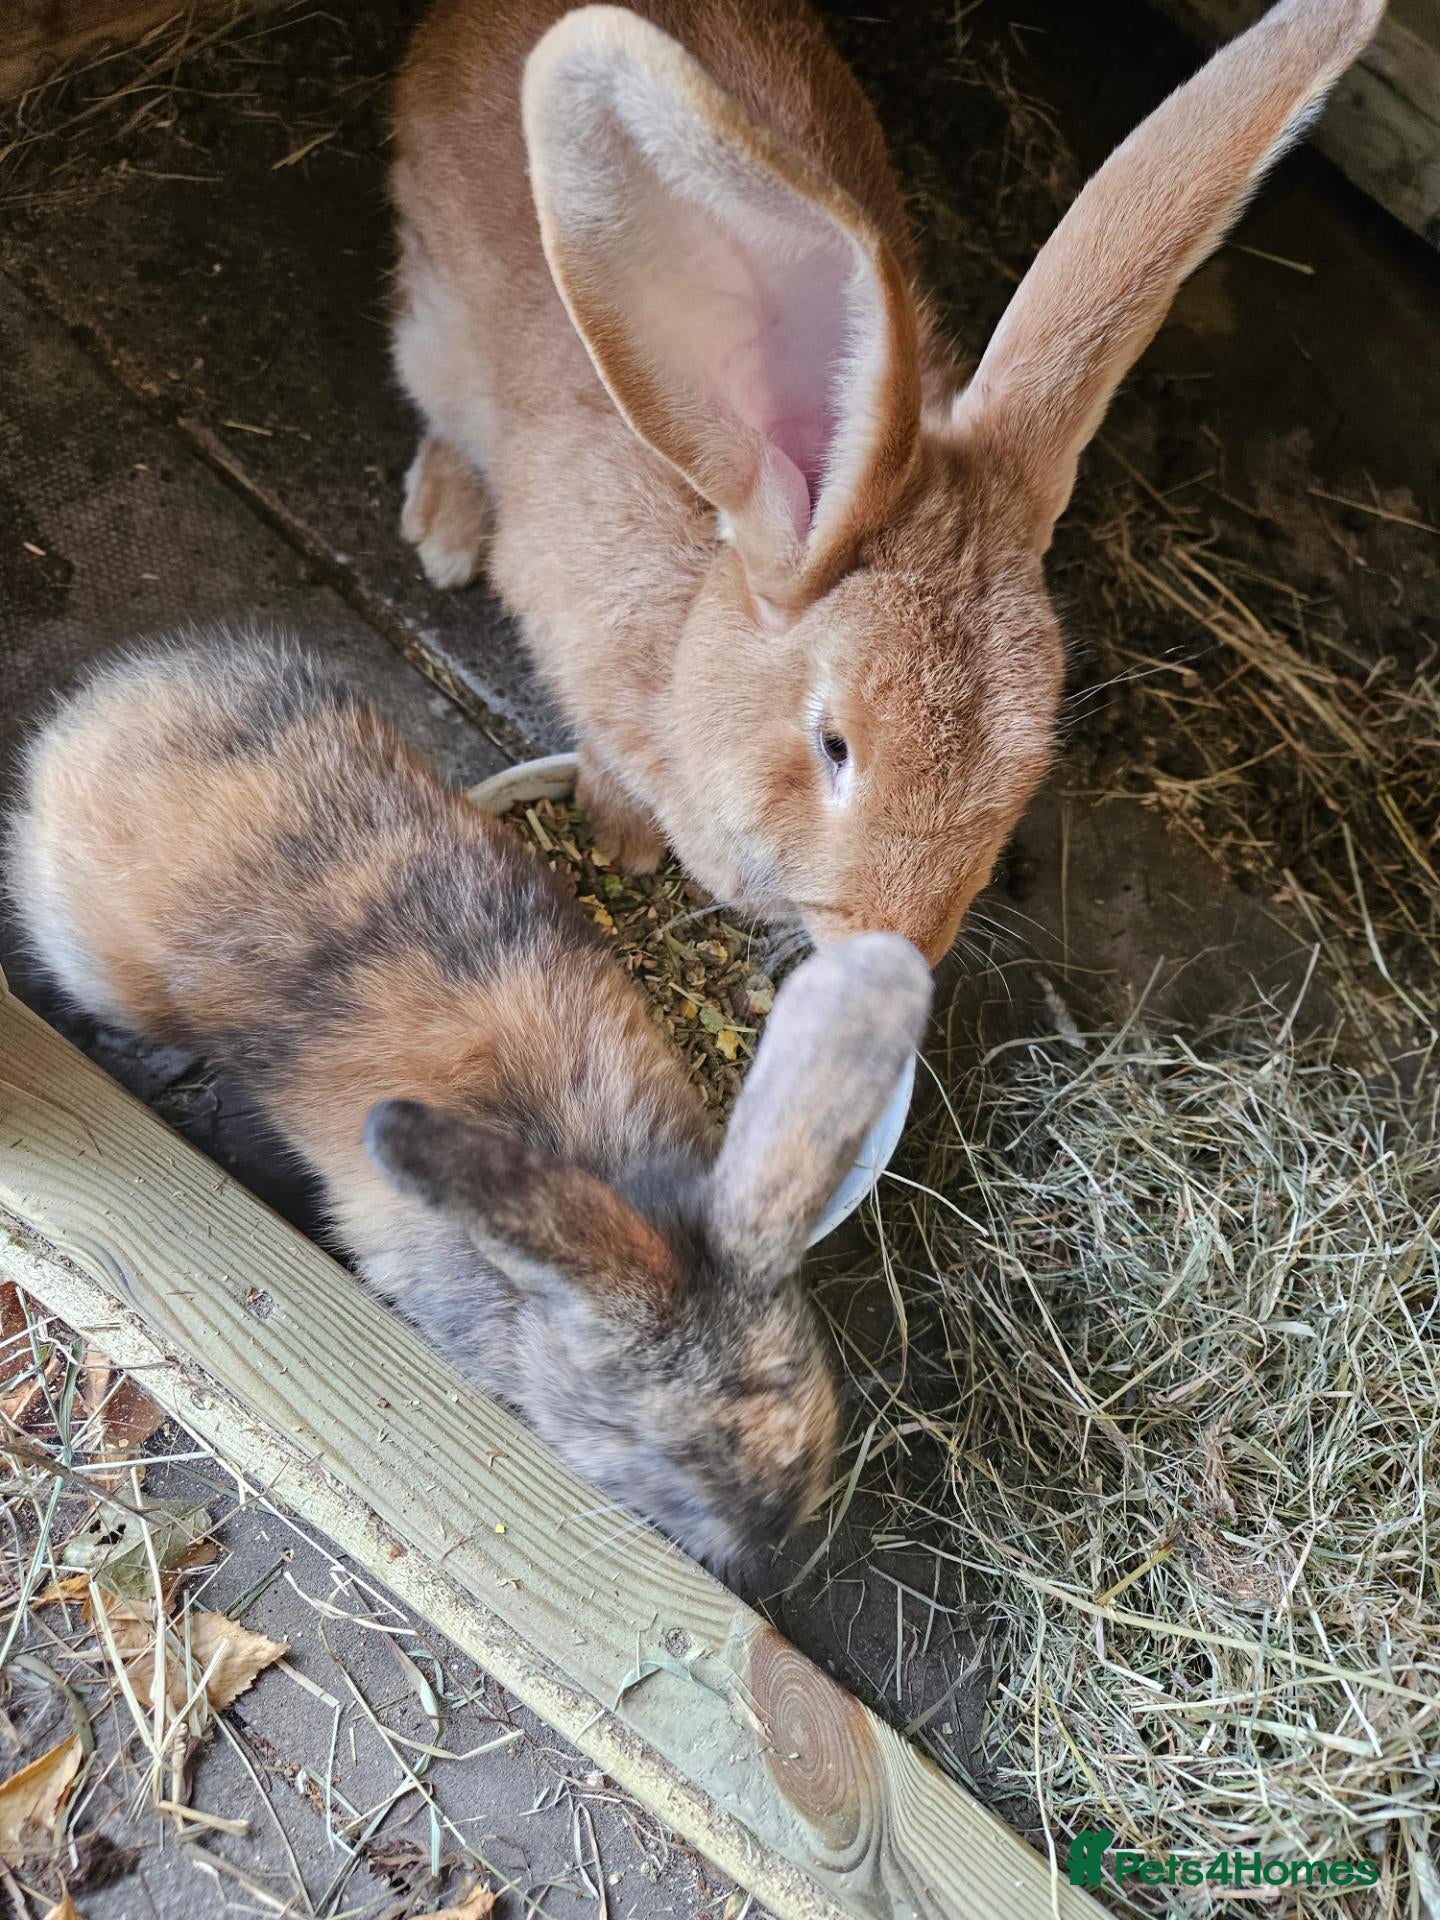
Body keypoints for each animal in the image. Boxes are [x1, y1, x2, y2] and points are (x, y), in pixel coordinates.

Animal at [389, 0, 1383, 963]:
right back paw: (443, 530)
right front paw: (623, 838)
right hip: (434, 325)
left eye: (1030, 763)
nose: (904, 942)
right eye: (833, 744)